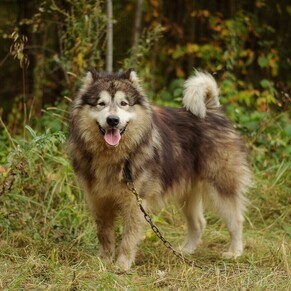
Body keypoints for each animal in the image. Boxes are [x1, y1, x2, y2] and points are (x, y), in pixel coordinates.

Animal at [67, 69, 252, 272]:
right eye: (101, 103)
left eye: (124, 103)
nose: (113, 120)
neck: (114, 156)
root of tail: (212, 110)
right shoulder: (99, 202)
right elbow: (104, 235)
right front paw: (104, 261)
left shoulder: (135, 203)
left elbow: (128, 238)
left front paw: (122, 265)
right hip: (187, 193)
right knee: (198, 223)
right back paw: (185, 251)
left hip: (220, 186)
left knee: (236, 220)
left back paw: (234, 252)